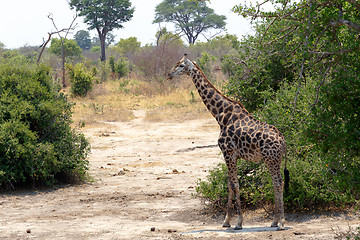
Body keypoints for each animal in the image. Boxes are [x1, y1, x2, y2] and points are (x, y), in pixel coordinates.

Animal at [169, 54, 290, 231]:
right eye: (176, 64)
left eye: (181, 65)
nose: (169, 74)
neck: (220, 115)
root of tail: (283, 140)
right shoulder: (230, 155)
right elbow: (229, 184)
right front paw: (226, 221)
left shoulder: (229, 152)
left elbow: (235, 184)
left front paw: (238, 222)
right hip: (274, 159)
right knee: (276, 183)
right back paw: (274, 221)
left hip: (271, 159)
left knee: (278, 182)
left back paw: (281, 222)